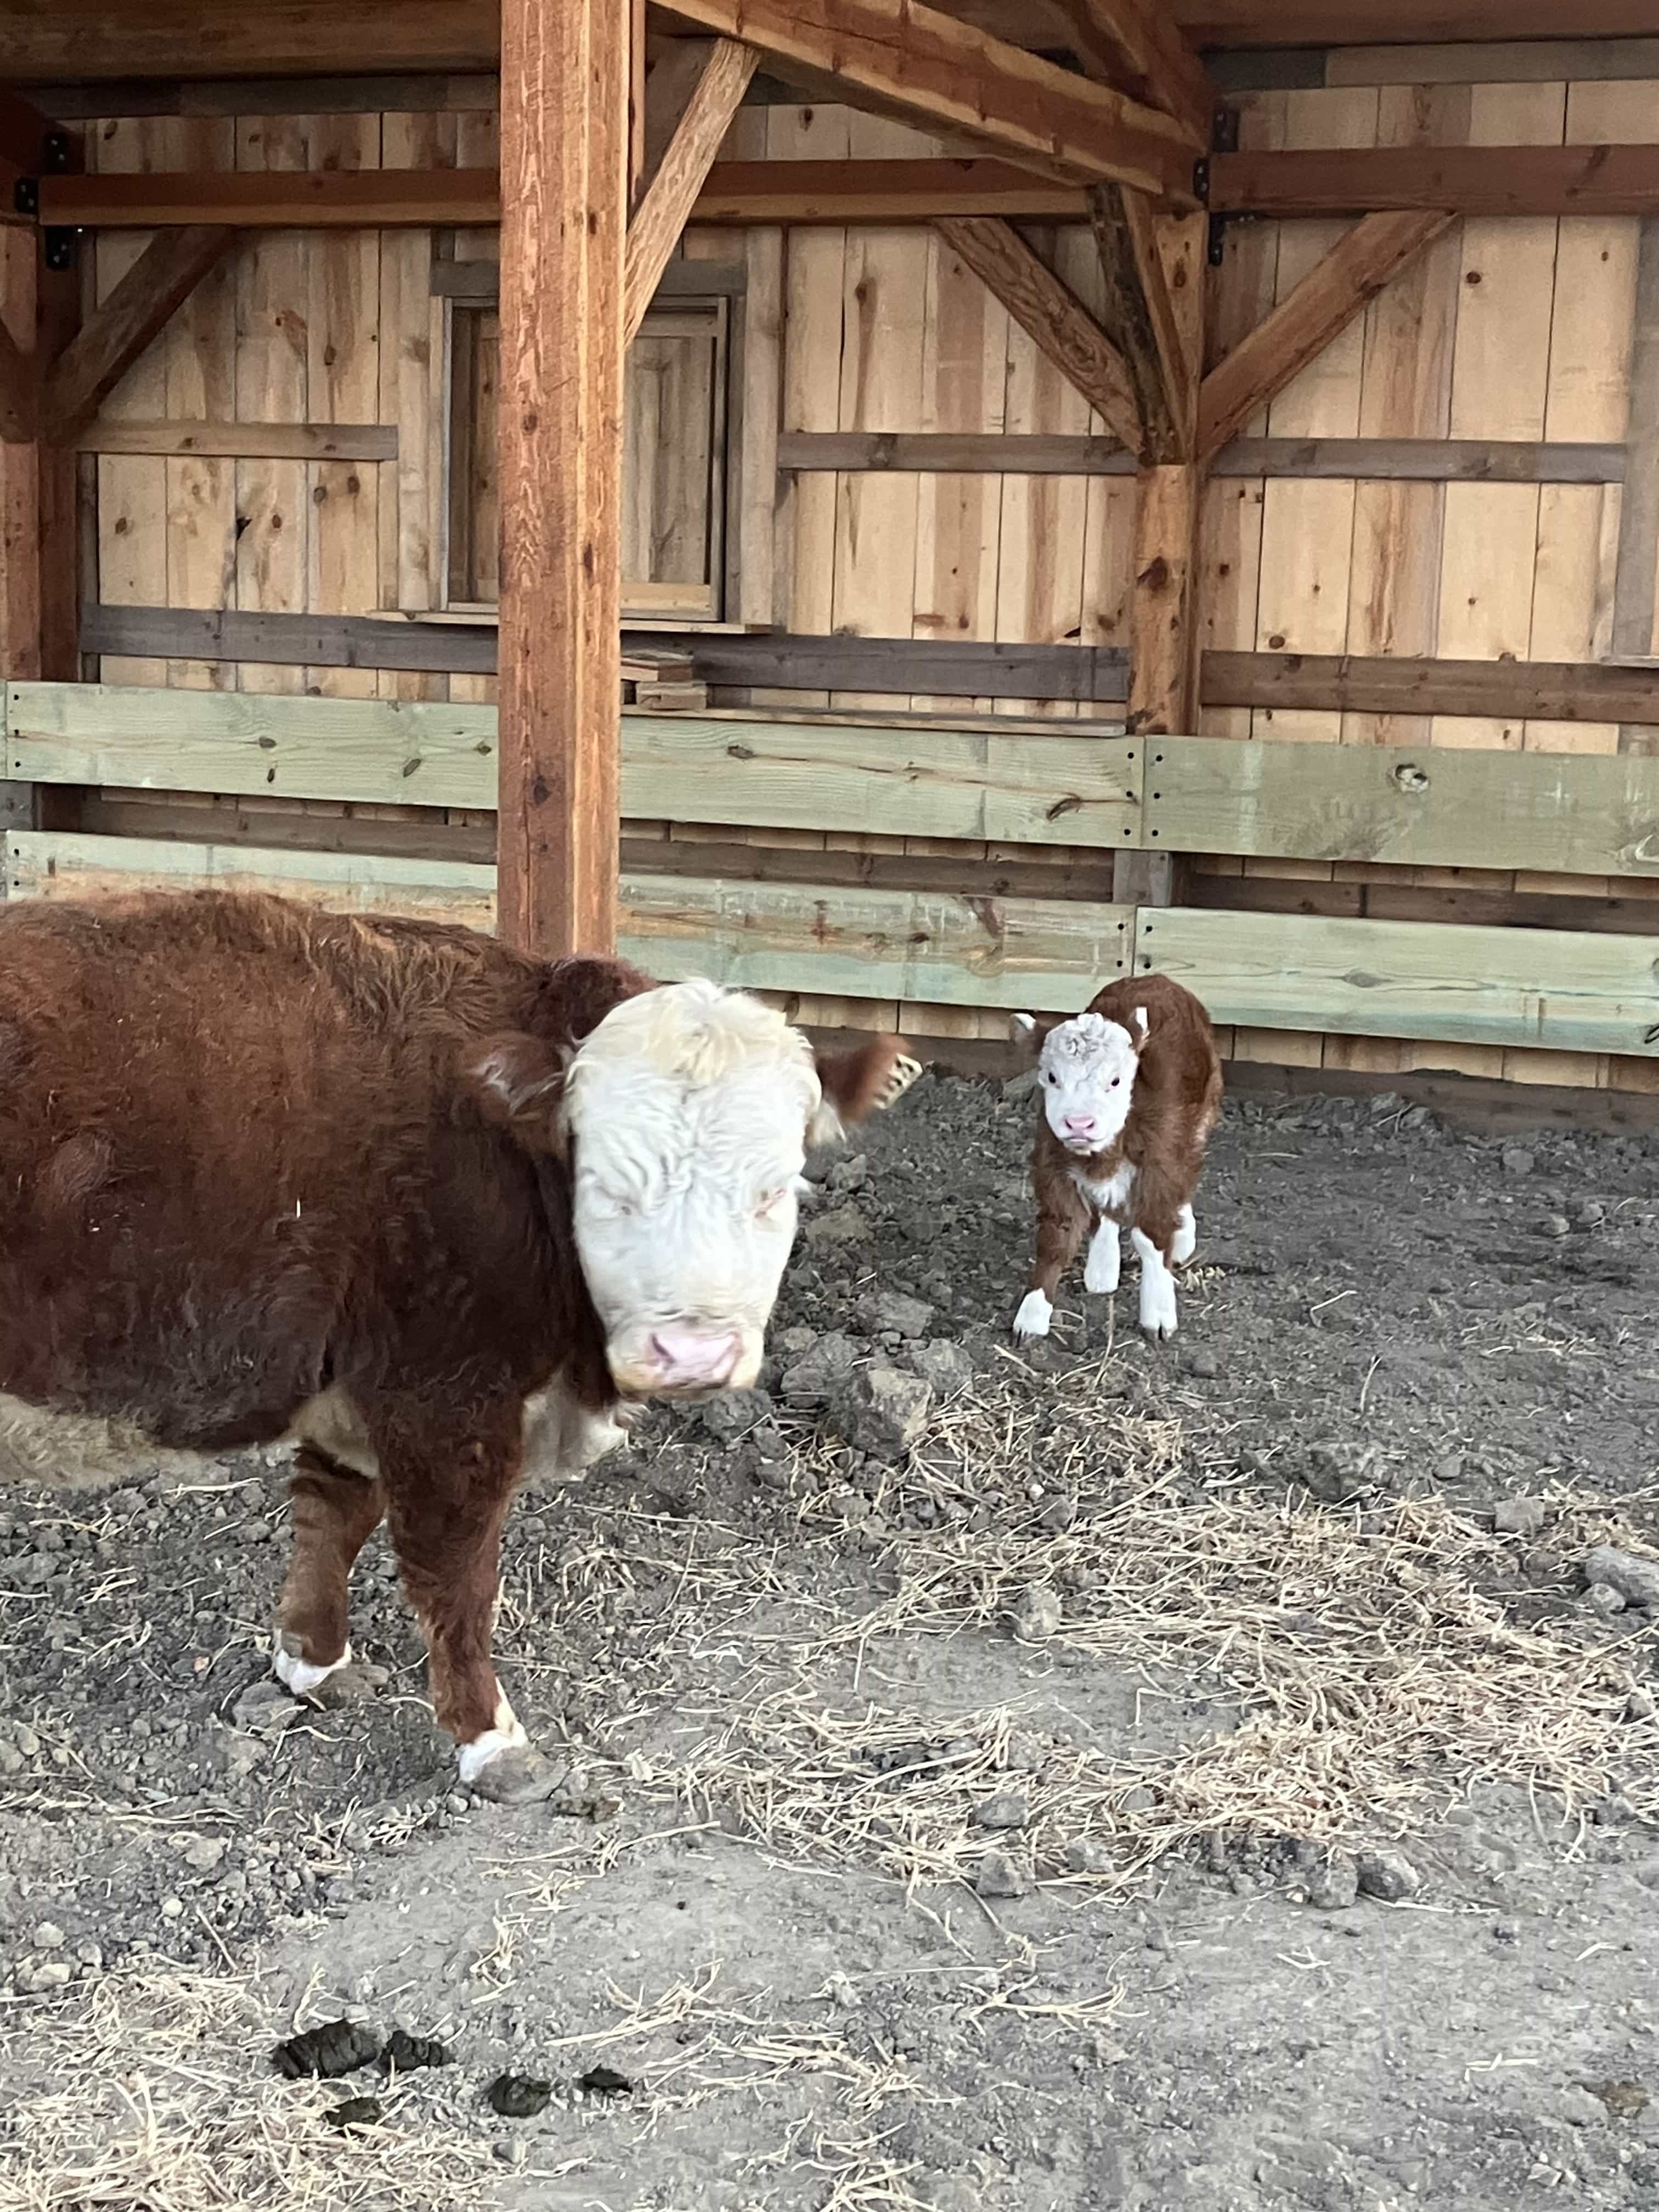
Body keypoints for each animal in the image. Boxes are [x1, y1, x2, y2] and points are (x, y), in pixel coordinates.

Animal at [0, 889, 924, 1805]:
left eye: (777, 1188)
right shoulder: (445, 1393)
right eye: (606, 1186)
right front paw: (491, 1739)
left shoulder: (362, 1383)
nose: (690, 1354)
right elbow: (456, 1571)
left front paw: (314, 1660)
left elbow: (332, 1516)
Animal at [1008, 973, 1229, 1345]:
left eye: (1115, 1081)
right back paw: (1102, 1268)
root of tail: (1155, 978)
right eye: (1052, 1077)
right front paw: (1032, 1316)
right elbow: (1055, 1239)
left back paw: (1184, 1237)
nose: (1079, 1123)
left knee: (1186, 1178)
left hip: (1202, 1116)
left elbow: (1151, 1236)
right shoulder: (1053, 1162)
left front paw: (1158, 1314)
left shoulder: (1160, 1165)